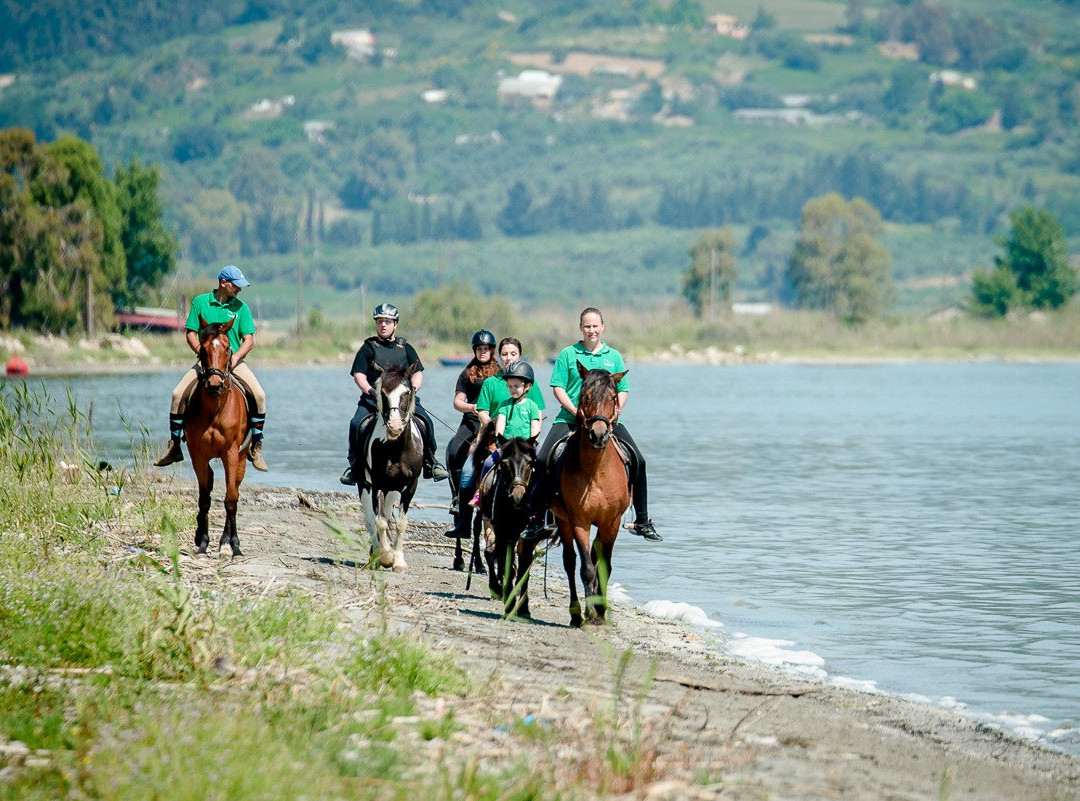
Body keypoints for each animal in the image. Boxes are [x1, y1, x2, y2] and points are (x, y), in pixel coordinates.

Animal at [189, 315, 251, 557]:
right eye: (203, 349)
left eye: (227, 347)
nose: (215, 384)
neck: (215, 409)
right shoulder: (197, 454)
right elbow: (204, 499)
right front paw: (202, 542)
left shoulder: (231, 452)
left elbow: (230, 499)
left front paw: (234, 545)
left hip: (241, 458)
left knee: (233, 489)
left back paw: (226, 540)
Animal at [356, 364, 419, 569]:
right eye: (383, 394)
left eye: (406, 393)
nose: (395, 426)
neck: (396, 448)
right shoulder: (376, 484)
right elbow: (379, 521)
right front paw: (385, 556)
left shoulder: (410, 485)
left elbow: (400, 523)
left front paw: (398, 560)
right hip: (365, 484)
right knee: (370, 519)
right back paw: (375, 555)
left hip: (392, 489)